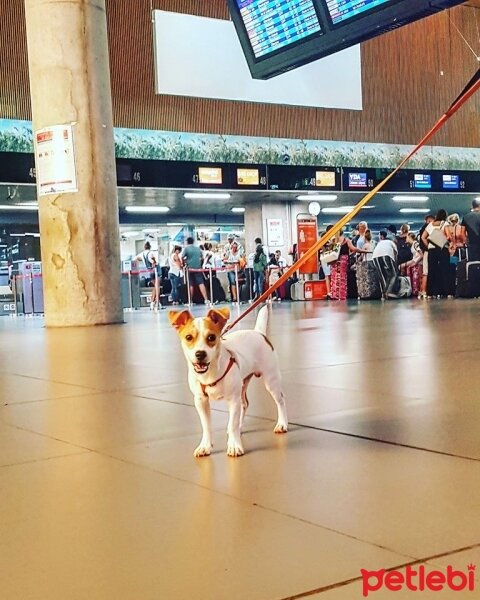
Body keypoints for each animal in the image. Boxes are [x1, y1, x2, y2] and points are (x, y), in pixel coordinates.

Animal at [167, 308, 286, 458]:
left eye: (211, 337)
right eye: (188, 337)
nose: (200, 354)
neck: (210, 374)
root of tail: (259, 333)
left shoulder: (233, 400)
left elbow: (232, 423)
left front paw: (234, 445)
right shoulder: (201, 401)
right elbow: (206, 425)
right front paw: (205, 446)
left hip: (271, 381)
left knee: (280, 401)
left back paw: (282, 424)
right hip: (243, 384)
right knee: (245, 404)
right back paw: (240, 427)